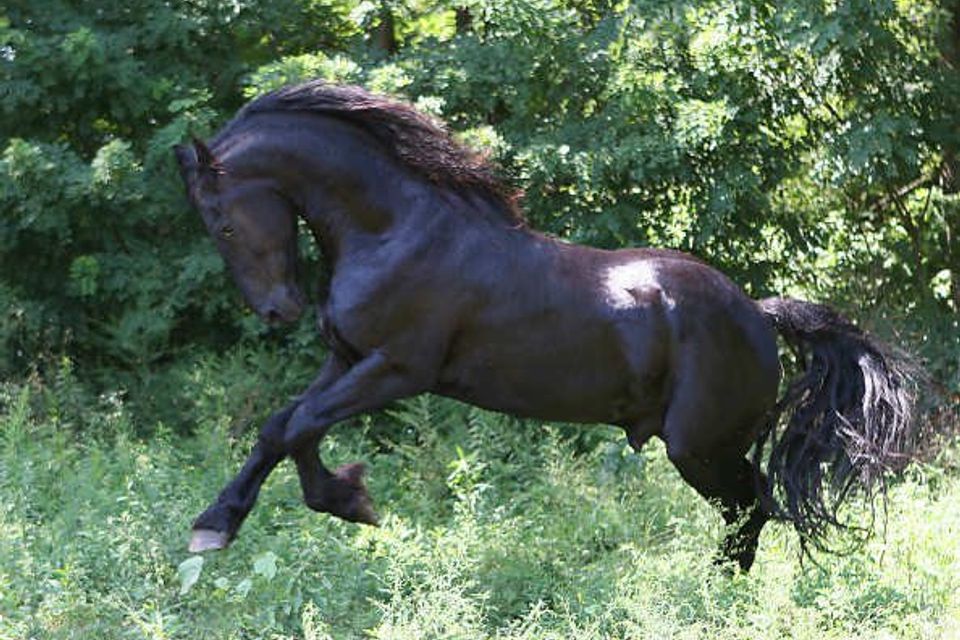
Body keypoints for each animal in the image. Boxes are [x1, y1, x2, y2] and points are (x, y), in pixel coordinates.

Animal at [174, 81, 919, 571]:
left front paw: (285, 513)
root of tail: (759, 316)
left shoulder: (396, 369)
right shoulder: (347, 358)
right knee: (750, 513)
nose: (280, 311)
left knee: (752, 508)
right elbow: (285, 426)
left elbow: (297, 425)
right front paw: (316, 503)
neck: (395, 231)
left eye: (222, 223)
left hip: (699, 448)